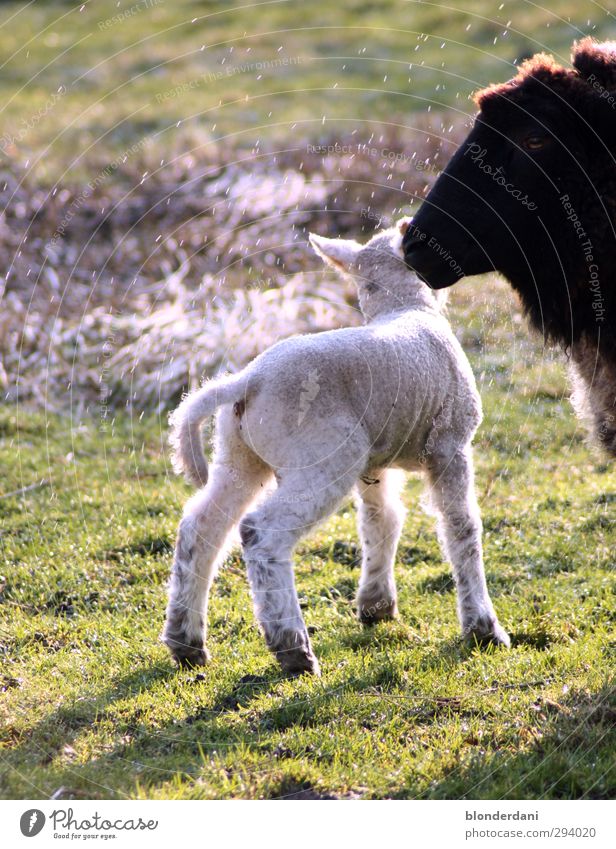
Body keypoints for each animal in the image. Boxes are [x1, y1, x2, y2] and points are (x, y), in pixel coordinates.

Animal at [162, 219, 506, 676]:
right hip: (322, 458)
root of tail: (248, 381)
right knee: (260, 532)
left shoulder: (377, 457)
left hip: (240, 456)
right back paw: (292, 648)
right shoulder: (450, 444)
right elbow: (462, 529)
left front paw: (376, 604)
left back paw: (186, 642)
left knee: (201, 527)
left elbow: (381, 520)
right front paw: (483, 628)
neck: (405, 307)